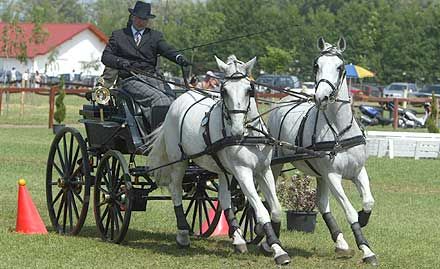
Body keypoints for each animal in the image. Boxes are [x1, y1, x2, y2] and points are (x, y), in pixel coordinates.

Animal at [148, 55, 292, 264]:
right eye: (224, 91)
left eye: (249, 89)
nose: (237, 131)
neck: (249, 136)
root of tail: (179, 99)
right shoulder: (243, 172)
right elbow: (261, 210)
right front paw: (279, 251)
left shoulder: (263, 170)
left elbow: (275, 209)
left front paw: (269, 244)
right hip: (179, 161)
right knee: (176, 191)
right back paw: (183, 234)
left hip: (222, 169)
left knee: (224, 199)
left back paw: (238, 239)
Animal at [268, 37, 378, 264]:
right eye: (316, 65)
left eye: (340, 67)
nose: (321, 98)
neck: (340, 131)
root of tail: (280, 102)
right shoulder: (333, 175)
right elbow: (349, 211)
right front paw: (366, 249)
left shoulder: (357, 171)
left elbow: (368, 202)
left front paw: (363, 219)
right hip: (275, 164)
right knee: (269, 198)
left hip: (320, 175)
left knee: (321, 203)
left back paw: (341, 242)